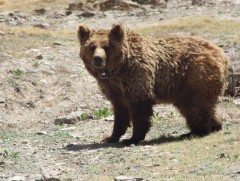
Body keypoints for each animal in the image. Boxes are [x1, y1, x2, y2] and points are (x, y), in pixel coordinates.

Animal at [78, 24, 230, 145]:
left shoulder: (137, 75)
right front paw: (110, 137)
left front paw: (132, 138)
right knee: (196, 107)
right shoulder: (113, 86)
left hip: (195, 75)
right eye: (92, 46)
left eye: (107, 47)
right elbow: (120, 110)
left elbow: (139, 108)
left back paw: (199, 131)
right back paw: (211, 126)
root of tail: (222, 54)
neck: (118, 69)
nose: (98, 59)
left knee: (196, 105)